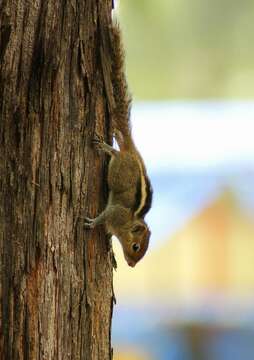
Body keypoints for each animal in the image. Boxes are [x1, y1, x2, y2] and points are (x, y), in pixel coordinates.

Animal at [85, 21, 153, 264]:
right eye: (136, 246)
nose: (132, 265)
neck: (127, 222)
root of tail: (132, 150)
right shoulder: (115, 212)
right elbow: (103, 217)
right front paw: (92, 222)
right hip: (119, 166)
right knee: (115, 152)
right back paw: (105, 147)